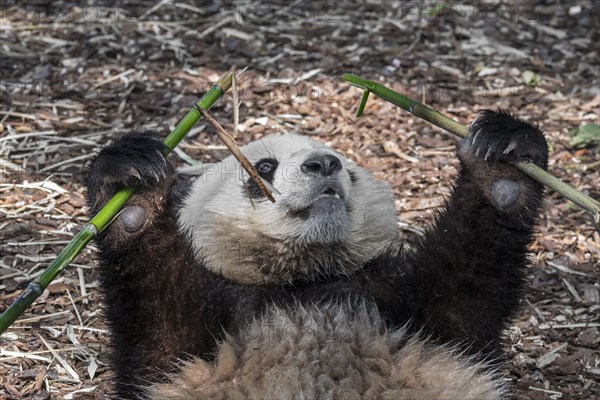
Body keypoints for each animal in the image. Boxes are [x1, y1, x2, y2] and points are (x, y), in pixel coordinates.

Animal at [85, 109, 548, 400]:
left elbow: (468, 275)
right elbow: (156, 303)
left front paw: (502, 160)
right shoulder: (194, 342)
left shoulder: (419, 316)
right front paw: (133, 188)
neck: (303, 280)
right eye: (264, 168)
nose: (324, 164)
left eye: (347, 167)